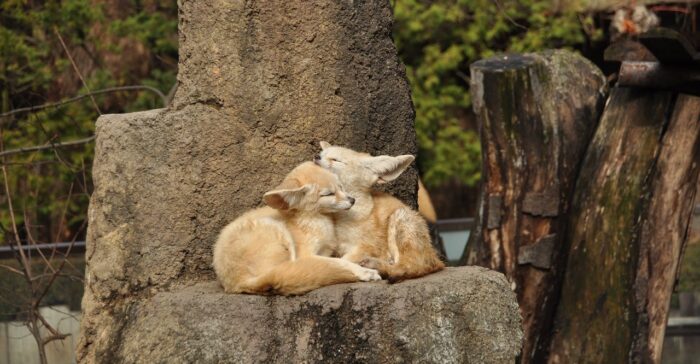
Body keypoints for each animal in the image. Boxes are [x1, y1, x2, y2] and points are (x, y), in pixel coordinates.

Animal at [212, 162, 380, 296]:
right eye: (329, 194)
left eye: (340, 187)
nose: (353, 200)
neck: (313, 220)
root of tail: (237, 282)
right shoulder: (306, 254)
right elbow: (338, 262)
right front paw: (364, 271)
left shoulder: (323, 251)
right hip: (277, 231)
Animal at [316, 142, 442, 282]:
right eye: (322, 155)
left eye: (335, 160)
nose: (316, 157)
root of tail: (435, 257)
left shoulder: (367, 246)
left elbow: (342, 261)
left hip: (399, 220)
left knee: (411, 266)